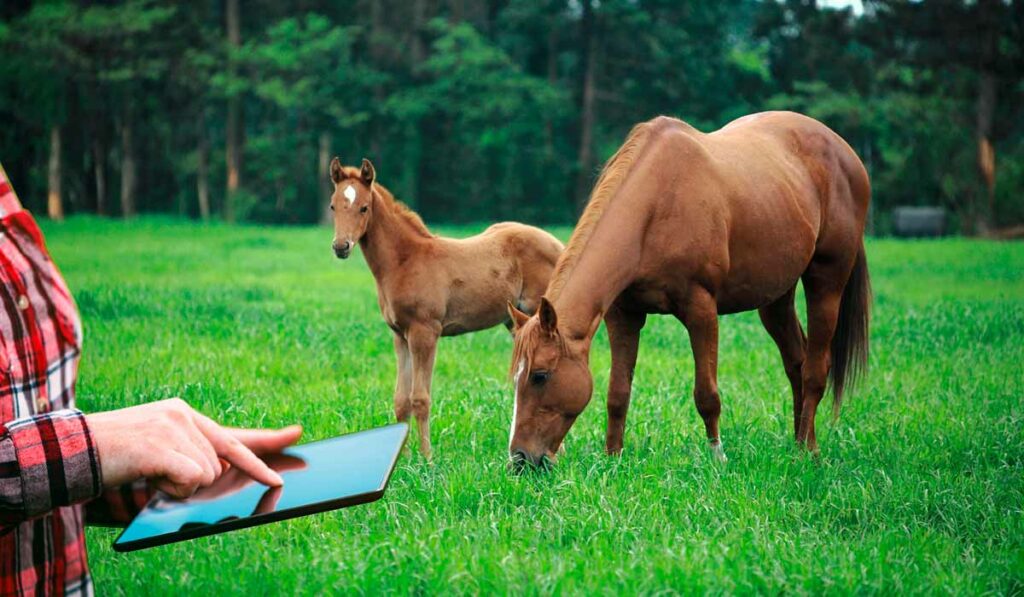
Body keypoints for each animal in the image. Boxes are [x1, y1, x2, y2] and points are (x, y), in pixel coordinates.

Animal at [329, 158, 565, 458]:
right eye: (333, 206)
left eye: (364, 207)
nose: (341, 247)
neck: (405, 261)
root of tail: (558, 245)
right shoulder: (400, 336)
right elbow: (401, 400)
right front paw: (403, 459)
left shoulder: (424, 333)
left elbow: (420, 398)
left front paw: (427, 458)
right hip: (517, 322)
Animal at [507, 112, 868, 466]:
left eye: (540, 375)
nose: (520, 459)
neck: (655, 207)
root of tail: (844, 151)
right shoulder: (624, 315)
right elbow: (617, 393)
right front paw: (613, 458)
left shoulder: (701, 310)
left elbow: (707, 394)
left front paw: (717, 458)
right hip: (776, 298)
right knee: (796, 363)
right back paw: (796, 444)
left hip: (827, 281)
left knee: (815, 370)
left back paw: (808, 451)